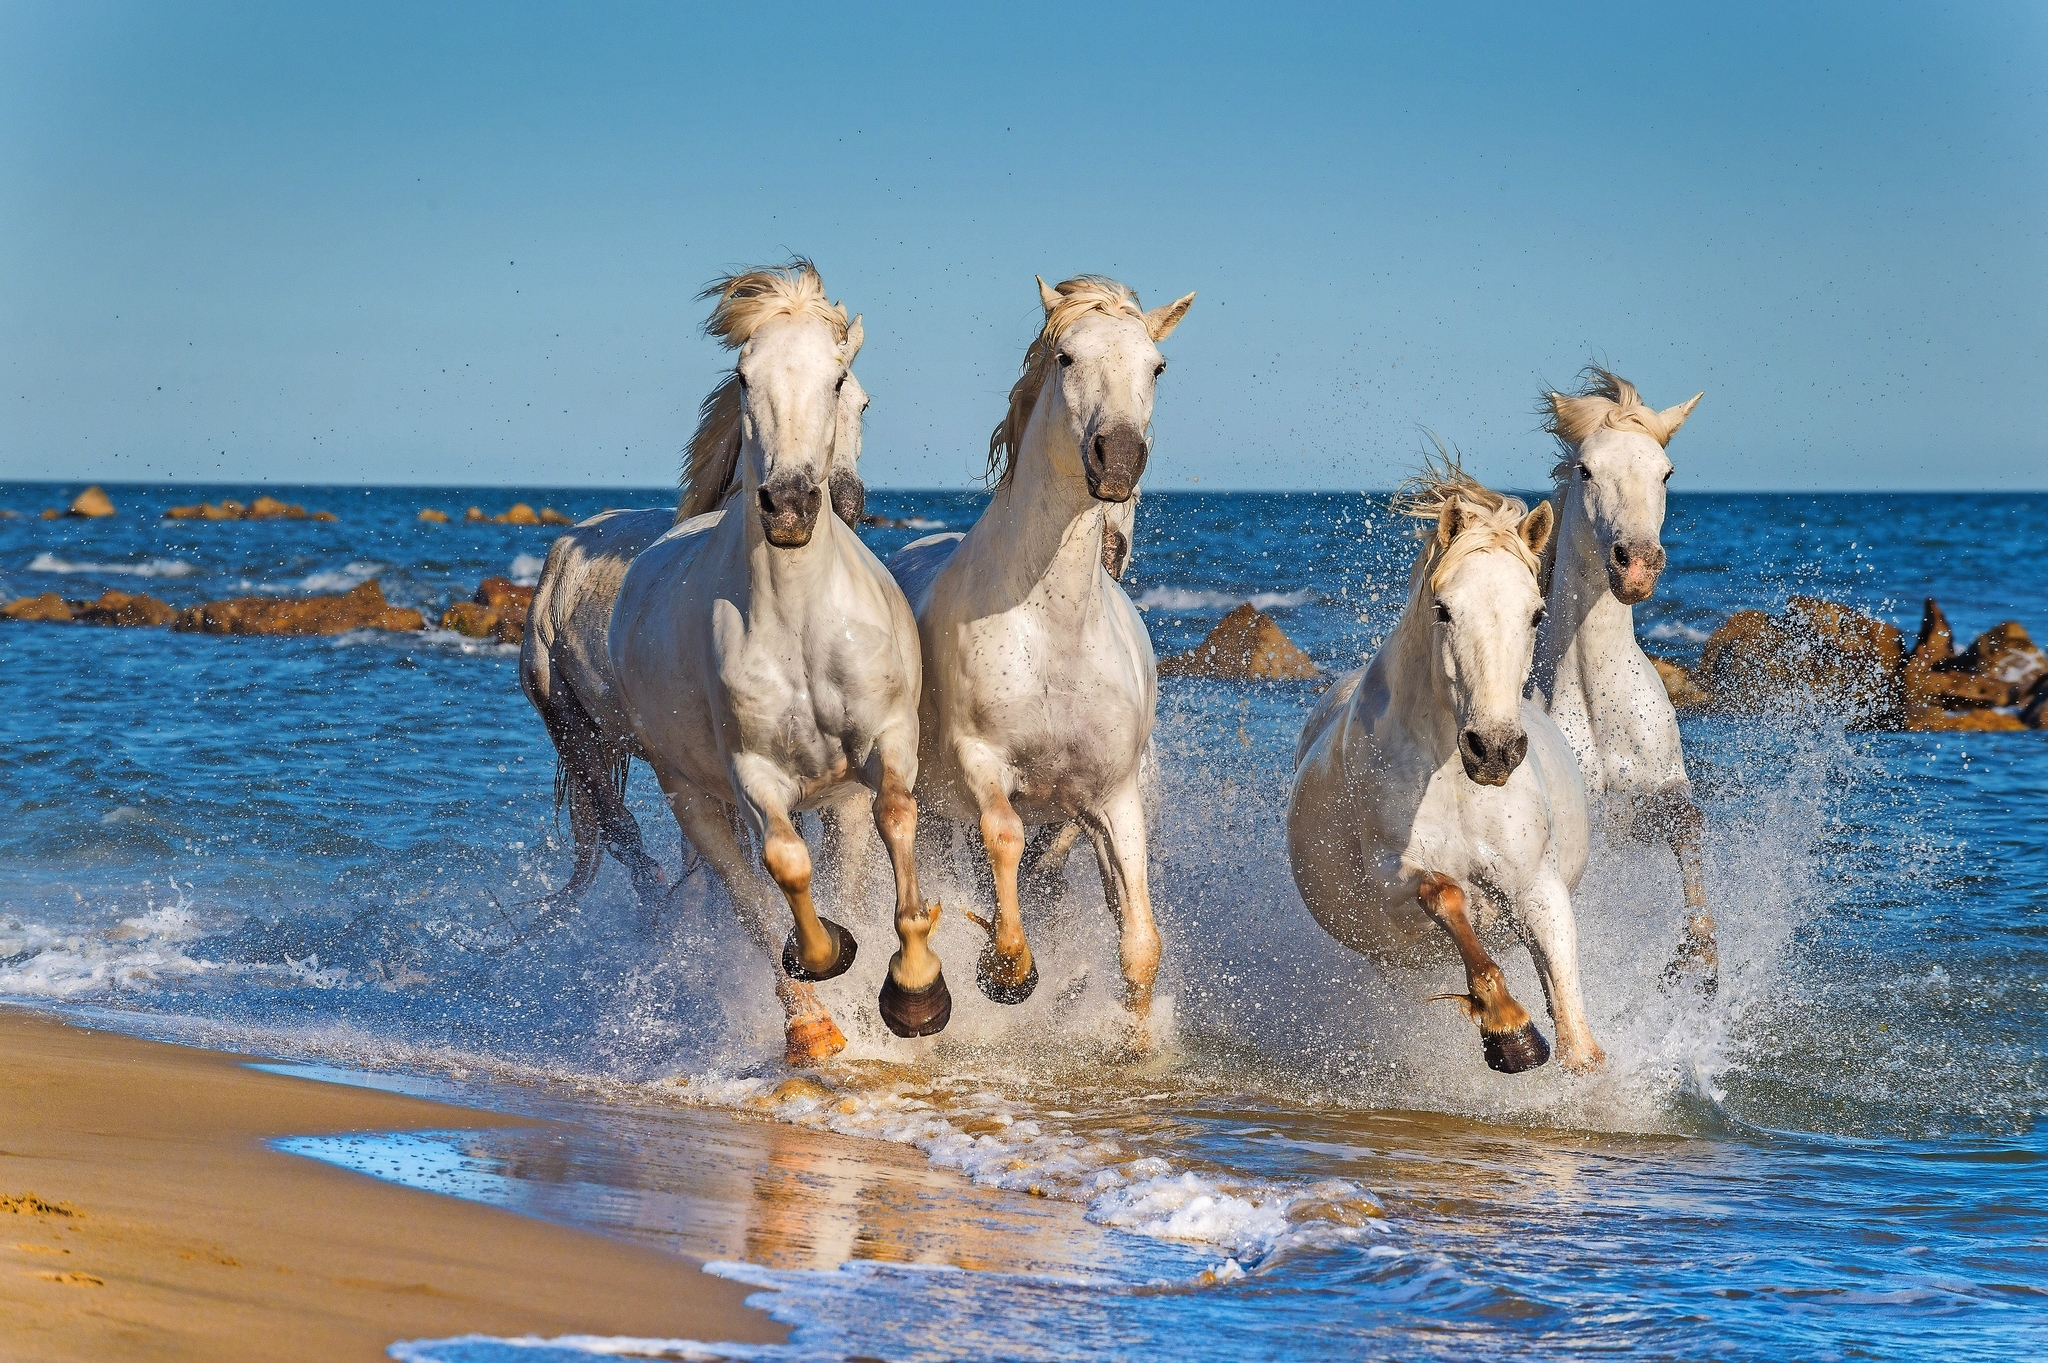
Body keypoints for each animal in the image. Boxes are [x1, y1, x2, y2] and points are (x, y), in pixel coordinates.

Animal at [887, 274, 1194, 1043]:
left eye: (1157, 367)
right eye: (1065, 356)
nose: (1118, 458)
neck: (1055, 631)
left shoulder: (1112, 797)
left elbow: (1139, 943)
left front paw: (1135, 1043)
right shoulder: (981, 763)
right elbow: (1002, 834)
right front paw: (1007, 971)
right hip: (936, 811)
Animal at [1287, 461, 1605, 1074]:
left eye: (1536, 613)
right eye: (1444, 609)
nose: (1494, 750)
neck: (1455, 782)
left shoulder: (1538, 887)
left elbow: (1576, 1033)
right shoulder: (1393, 881)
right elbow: (1446, 893)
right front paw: (1510, 1030)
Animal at [1530, 368, 1713, 991]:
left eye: (1666, 472)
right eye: (1585, 470)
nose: (1636, 564)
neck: (1596, 699)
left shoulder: (1656, 795)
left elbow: (1688, 824)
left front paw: (1698, 956)